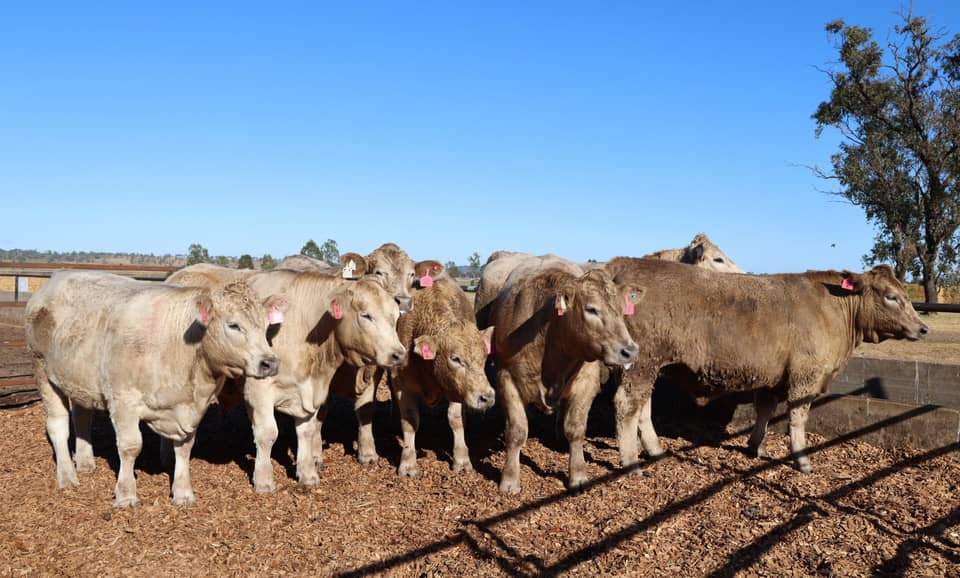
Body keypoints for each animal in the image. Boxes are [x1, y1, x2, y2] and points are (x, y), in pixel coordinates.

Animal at [25, 271, 284, 507]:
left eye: (265, 327)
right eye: (234, 325)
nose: (270, 362)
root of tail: (54, 279)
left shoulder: (189, 409)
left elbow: (184, 448)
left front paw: (183, 493)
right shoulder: (123, 400)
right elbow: (130, 447)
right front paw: (126, 494)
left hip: (80, 381)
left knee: (81, 417)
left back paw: (86, 462)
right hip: (42, 372)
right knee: (58, 426)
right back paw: (67, 476)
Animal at [391, 274, 495, 477]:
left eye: (484, 357)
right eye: (455, 359)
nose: (486, 397)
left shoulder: (457, 390)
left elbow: (455, 419)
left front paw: (461, 459)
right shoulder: (401, 386)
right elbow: (409, 421)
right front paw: (408, 463)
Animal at [489, 256, 641, 493]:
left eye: (623, 310)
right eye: (591, 309)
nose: (630, 351)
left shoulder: (586, 383)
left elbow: (575, 429)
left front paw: (578, 475)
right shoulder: (507, 379)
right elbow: (516, 432)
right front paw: (510, 479)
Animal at [607, 259, 927, 473]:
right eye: (891, 296)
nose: (923, 328)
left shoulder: (774, 377)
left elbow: (765, 410)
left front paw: (755, 446)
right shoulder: (805, 377)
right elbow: (797, 417)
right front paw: (802, 459)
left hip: (649, 367)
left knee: (642, 408)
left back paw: (655, 450)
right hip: (641, 364)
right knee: (626, 405)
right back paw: (630, 462)